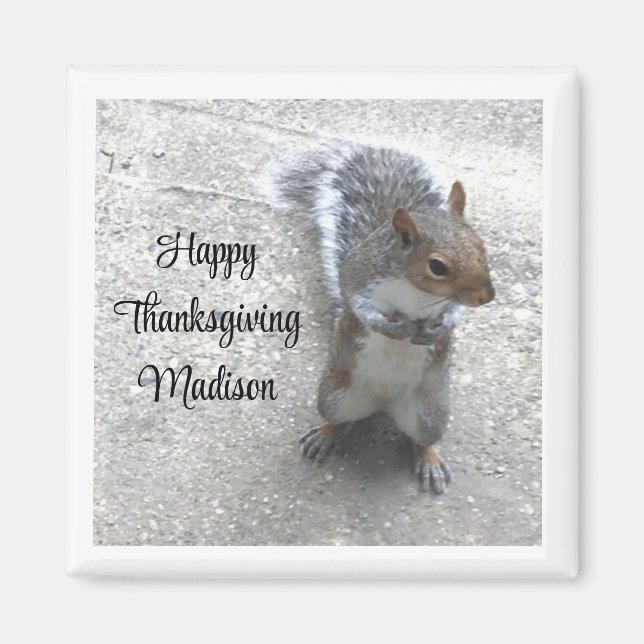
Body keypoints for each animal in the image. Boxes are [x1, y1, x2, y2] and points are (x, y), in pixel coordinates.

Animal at [268, 143, 495, 493]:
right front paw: (390, 327)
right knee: (339, 420)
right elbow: (358, 303)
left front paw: (438, 328)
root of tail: (385, 402)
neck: (415, 289)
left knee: (422, 439)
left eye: (481, 245)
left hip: (430, 415)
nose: (488, 296)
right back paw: (325, 436)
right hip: (334, 396)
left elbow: (454, 312)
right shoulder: (359, 274)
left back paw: (430, 461)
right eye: (437, 266)